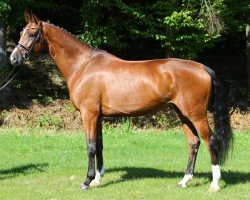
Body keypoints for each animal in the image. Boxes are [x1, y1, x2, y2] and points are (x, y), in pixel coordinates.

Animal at [9, 11, 232, 191]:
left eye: (31, 34)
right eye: (21, 32)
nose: (13, 59)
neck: (83, 65)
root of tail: (202, 67)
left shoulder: (88, 114)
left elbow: (90, 146)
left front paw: (87, 181)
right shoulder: (98, 116)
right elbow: (99, 145)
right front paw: (97, 179)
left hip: (196, 114)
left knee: (211, 141)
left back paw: (214, 185)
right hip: (182, 113)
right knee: (194, 142)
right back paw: (184, 181)